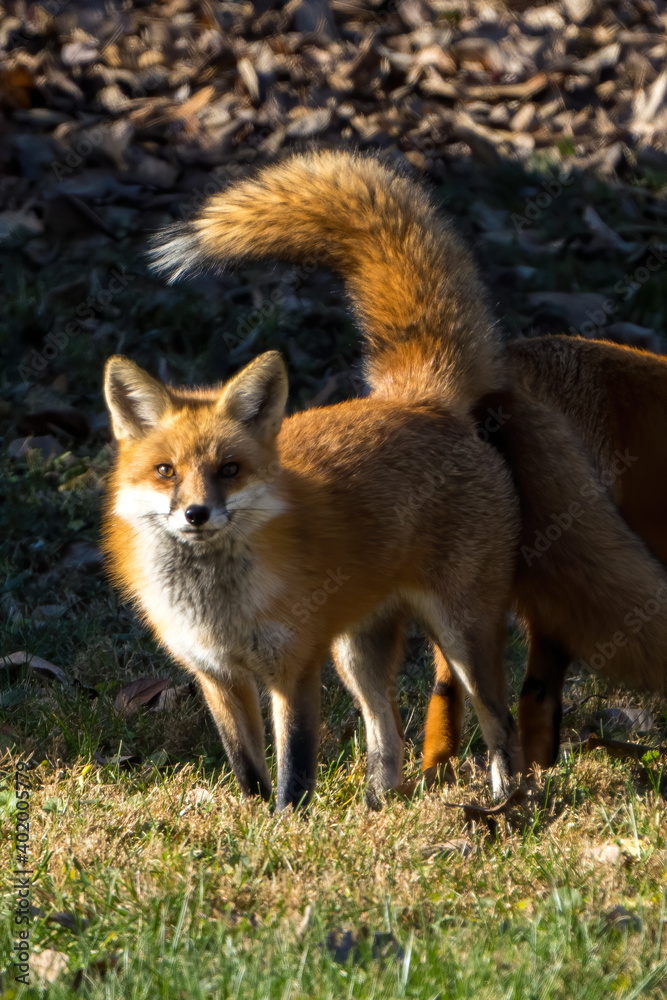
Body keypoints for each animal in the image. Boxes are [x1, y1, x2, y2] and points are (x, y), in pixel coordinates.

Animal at [102, 150, 522, 810]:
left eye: (229, 470)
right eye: (166, 471)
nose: (196, 514)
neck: (221, 608)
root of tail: (420, 397)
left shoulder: (294, 666)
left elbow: (295, 767)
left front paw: (287, 823)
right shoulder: (217, 676)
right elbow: (246, 767)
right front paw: (251, 821)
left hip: (460, 632)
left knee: (498, 720)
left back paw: (506, 800)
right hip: (357, 651)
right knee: (386, 734)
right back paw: (378, 807)